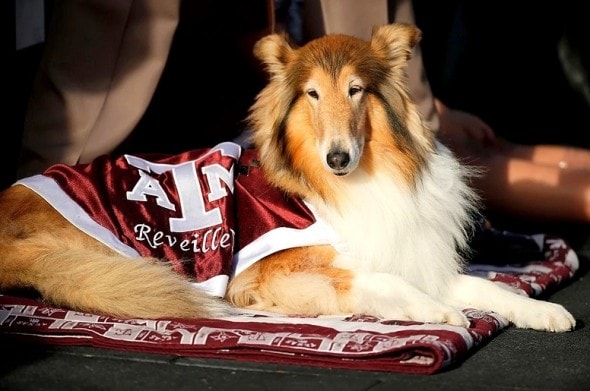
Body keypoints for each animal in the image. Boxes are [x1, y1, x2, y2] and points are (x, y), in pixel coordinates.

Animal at [0, 23, 576, 334]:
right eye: (312, 94)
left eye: (356, 90)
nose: (338, 158)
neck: (349, 186)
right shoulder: (267, 273)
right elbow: (379, 281)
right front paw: (438, 311)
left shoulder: (406, 251)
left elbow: (486, 285)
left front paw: (544, 312)